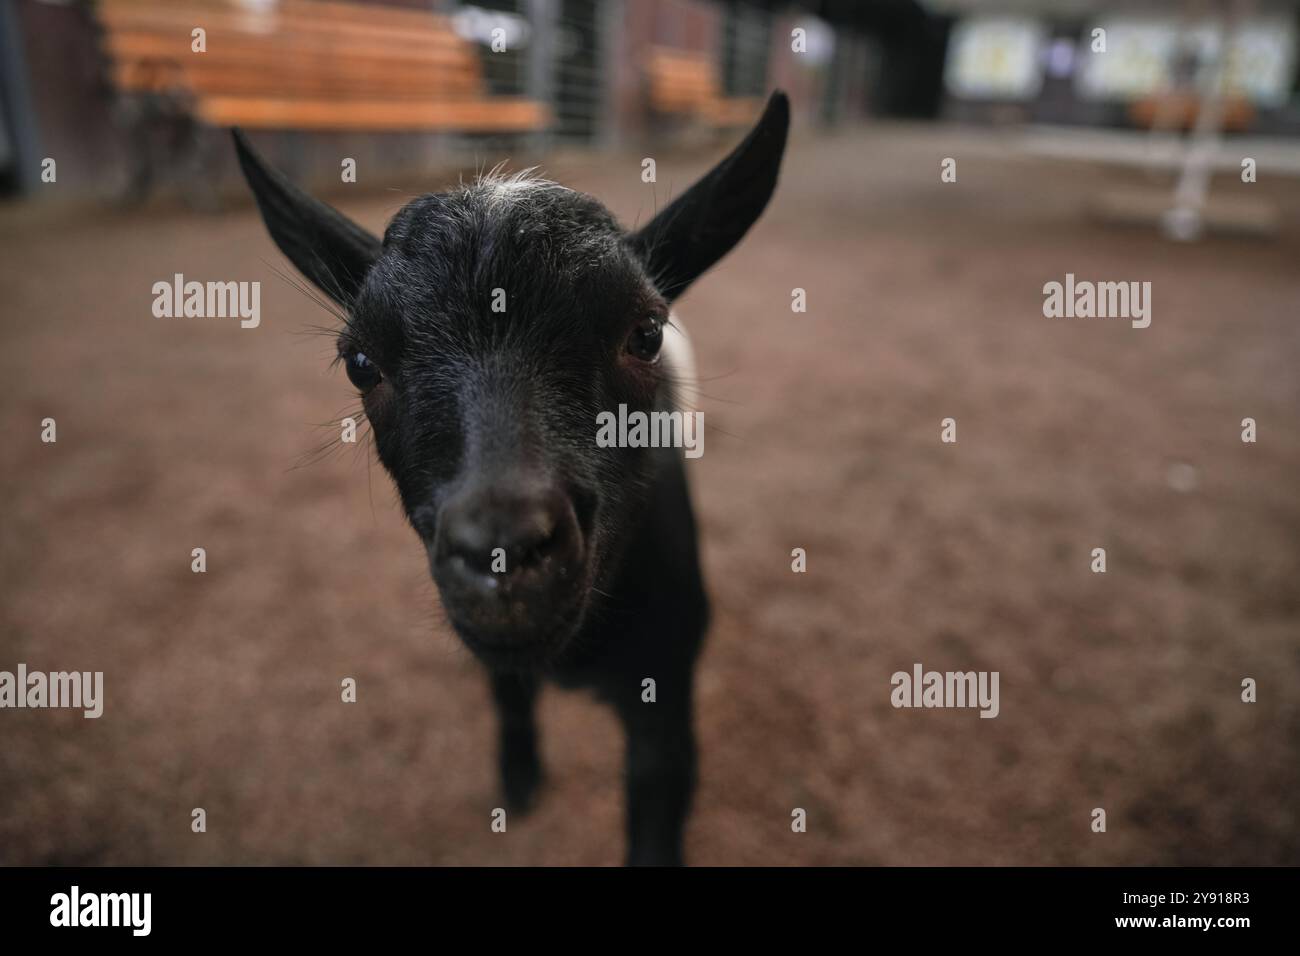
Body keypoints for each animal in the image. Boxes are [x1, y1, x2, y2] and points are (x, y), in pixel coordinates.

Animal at [235, 95, 790, 868]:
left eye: (646, 333)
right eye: (360, 362)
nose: (502, 550)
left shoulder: (668, 691)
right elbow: (507, 699)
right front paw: (519, 781)